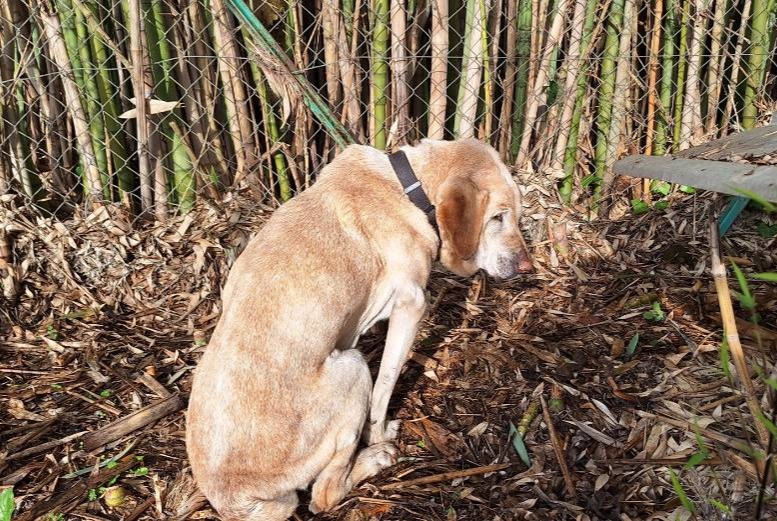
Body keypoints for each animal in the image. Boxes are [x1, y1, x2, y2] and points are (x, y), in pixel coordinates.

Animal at [185, 139, 532, 520]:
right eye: (497, 217)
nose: (527, 266)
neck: (407, 187)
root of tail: (236, 499)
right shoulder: (411, 305)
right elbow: (384, 389)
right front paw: (378, 435)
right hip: (352, 366)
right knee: (324, 495)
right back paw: (375, 458)